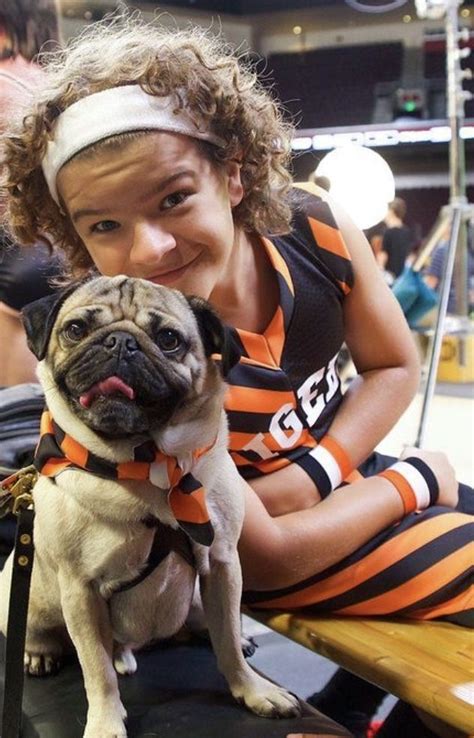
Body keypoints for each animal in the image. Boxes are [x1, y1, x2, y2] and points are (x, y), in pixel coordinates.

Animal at [0, 274, 298, 736]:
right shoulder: (80, 590)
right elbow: (97, 670)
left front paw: (252, 690)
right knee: (55, 637)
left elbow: (227, 641)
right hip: (21, 593)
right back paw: (40, 652)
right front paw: (105, 722)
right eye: (76, 329)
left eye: (169, 340)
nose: (120, 342)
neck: (148, 466)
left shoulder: (223, 564)